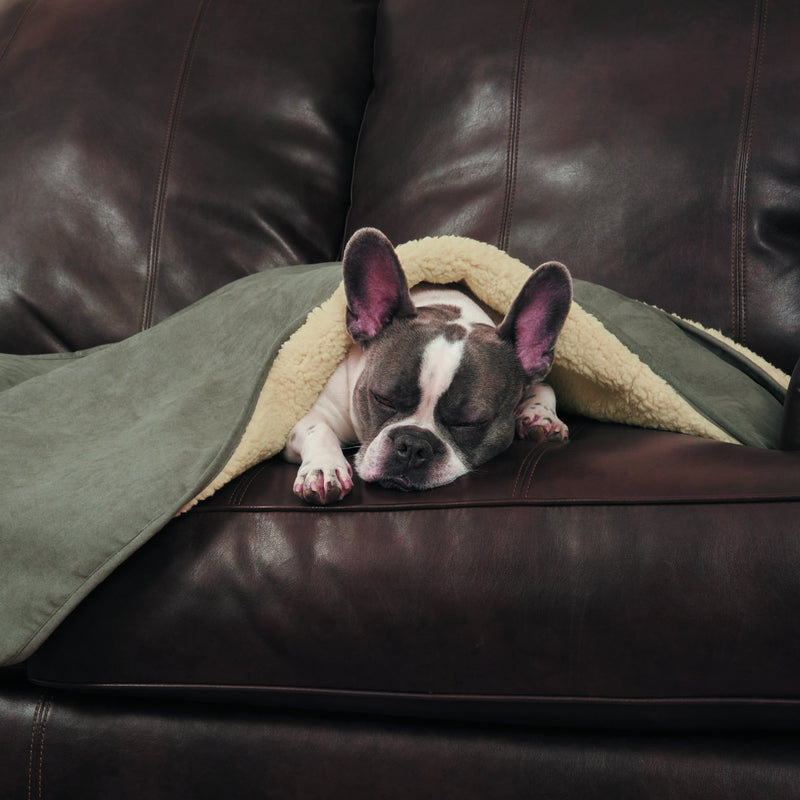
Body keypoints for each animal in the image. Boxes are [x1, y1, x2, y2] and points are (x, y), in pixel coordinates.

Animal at [284, 225, 572, 504]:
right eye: (382, 399)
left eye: (469, 424)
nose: (413, 445)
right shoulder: (313, 416)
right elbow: (317, 428)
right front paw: (323, 470)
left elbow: (545, 386)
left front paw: (541, 415)